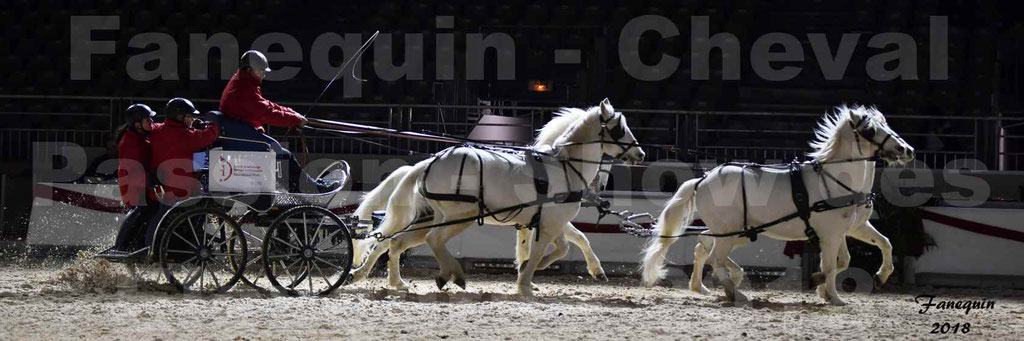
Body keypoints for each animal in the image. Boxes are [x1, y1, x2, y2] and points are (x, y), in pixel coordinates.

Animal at [356, 98, 643, 294]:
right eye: (619, 129)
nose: (640, 154)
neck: (563, 166)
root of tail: (430, 162)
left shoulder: (550, 222)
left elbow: (566, 245)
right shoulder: (549, 224)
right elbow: (542, 251)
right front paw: (525, 283)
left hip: (433, 217)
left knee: (396, 242)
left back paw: (396, 281)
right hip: (462, 215)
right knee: (430, 239)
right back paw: (452, 274)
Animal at [643, 104, 917, 303]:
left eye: (886, 124)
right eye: (870, 129)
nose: (907, 150)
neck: (838, 180)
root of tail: (702, 179)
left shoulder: (851, 229)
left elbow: (875, 247)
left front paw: (876, 276)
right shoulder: (830, 235)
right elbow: (831, 265)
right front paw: (833, 296)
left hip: (734, 233)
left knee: (703, 246)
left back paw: (705, 286)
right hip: (730, 232)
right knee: (715, 259)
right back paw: (735, 292)